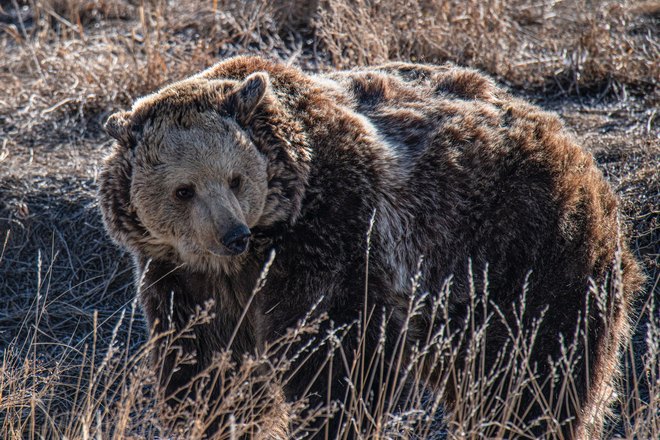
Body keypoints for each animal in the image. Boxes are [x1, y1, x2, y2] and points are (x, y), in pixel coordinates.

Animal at [98, 56, 644, 439]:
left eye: (235, 178)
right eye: (183, 190)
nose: (232, 234)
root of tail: (578, 149)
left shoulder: (333, 235)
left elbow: (335, 359)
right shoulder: (182, 276)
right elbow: (207, 368)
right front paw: (214, 417)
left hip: (525, 252)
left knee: (535, 374)